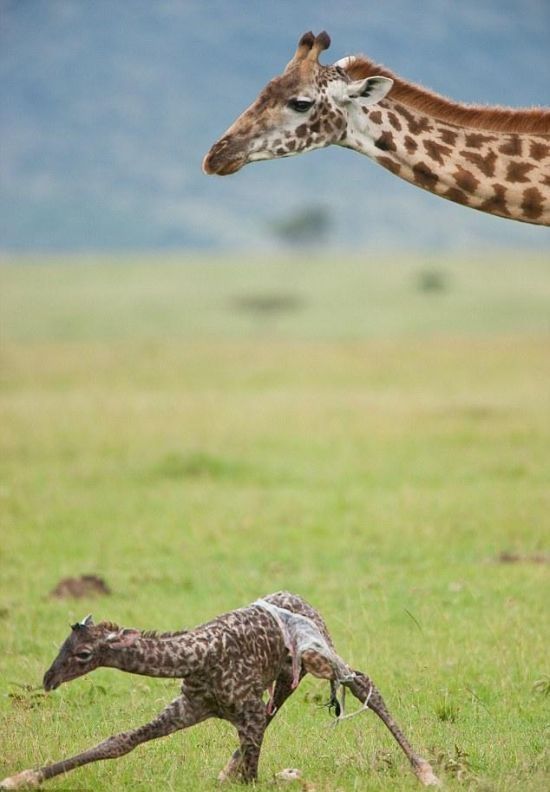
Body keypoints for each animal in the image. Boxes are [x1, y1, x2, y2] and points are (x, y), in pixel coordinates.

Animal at [0, 592, 440, 788]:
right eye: (64, 644)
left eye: (84, 653)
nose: (48, 679)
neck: (199, 657)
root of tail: (301, 599)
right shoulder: (191, 707)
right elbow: (119, 742)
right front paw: (21, 777)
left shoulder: (242, 708)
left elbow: (253, 777)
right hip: (284, 678)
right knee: (272, 714)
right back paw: (223, 770)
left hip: (321, 657)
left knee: (365, 684)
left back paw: (426, 770)